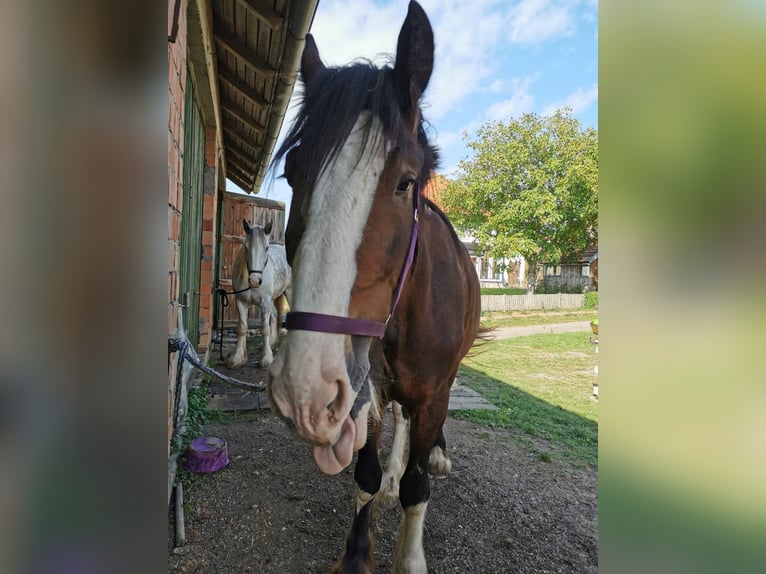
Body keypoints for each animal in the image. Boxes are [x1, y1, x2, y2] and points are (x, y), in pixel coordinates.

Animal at [226, 219, 291, 369]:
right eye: (245, 247)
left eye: (266, 248)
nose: (255, 281)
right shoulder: (240, 301)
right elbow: (242, 328)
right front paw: (238, 358)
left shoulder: (264, 303)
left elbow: (264, 329)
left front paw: (266, 359)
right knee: (274, 315)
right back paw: (271, 344)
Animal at [266, 2, 481, 572]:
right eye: (294, 174)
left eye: (406, 181)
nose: (304, 388)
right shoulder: (362, 389)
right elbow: (363, 475)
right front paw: (358, 551)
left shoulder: (431, 394)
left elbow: (417, 488)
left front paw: (409, 557)